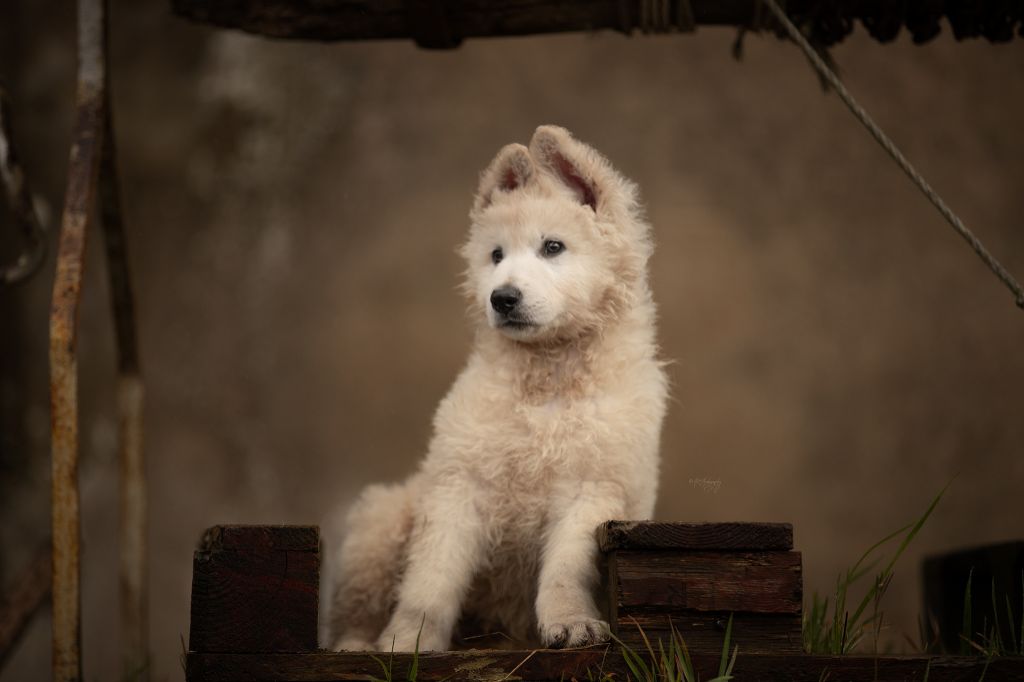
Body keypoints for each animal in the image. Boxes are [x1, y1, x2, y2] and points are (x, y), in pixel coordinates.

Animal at [323, 124, 667, 651]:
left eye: (552, 247)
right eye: (496, 255)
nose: (502, 298)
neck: (547, 377)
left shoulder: (593, 489)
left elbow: (565, 571)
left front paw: (571, 623)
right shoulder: (459, 484)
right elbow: (431, 580)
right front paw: (409, 641)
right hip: (382, 521)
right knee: (356, 605)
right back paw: (356, 645)